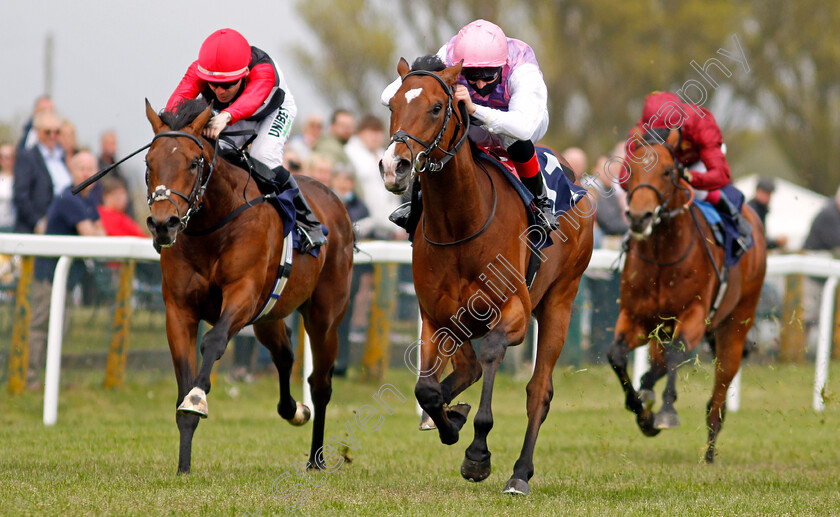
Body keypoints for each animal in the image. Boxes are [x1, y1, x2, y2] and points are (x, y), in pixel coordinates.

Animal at [144, 99, 354, 474]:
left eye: (194, 162)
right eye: (149, 162)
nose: (163, 224)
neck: (211, 227)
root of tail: (334, 197)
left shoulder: (242, 294)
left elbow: (213, 342)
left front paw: (198, 398)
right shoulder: (179, 310)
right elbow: (183, 379)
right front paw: (183, 465)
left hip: (325, 317)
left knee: (321, 384)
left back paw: (316, 458)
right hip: (269, 315)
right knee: (285, 356)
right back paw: (294, 411)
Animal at [378, 58, 592, 494]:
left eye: (436, 108)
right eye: (392, 104)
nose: (394, 167)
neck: (461, 222)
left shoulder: (513, 313)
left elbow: (492, 354)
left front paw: (477, 454)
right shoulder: (436, 316)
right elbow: (427, 388)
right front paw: (450, 418)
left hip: (560, 302)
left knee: (538, 391)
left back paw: (520, 473)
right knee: (467, 371)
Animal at [604, 127, 768, 462]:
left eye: (668, 171)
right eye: (630, 170)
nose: (639, 217)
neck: (662, 255)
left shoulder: (693, 314)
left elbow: (677, 353)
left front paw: (665, 411)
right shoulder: (635, 317)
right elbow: (616, 355)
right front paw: (643, 413)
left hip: (735, 324)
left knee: (718, 390)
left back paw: (710, 449)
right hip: (662, 328)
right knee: (658, 360)